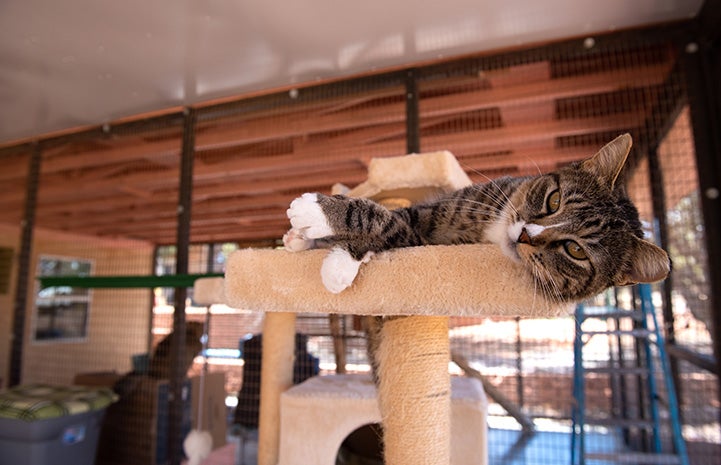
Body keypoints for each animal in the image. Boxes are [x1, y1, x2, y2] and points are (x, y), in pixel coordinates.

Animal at [282, 132, 668, 302]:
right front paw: (313, 228)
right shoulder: (433, 211)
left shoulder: (418, 235)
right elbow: (391, 214)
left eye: (575, 251)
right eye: (554, 199)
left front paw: (326, 236)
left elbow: (387, 224)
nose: (525, 234)